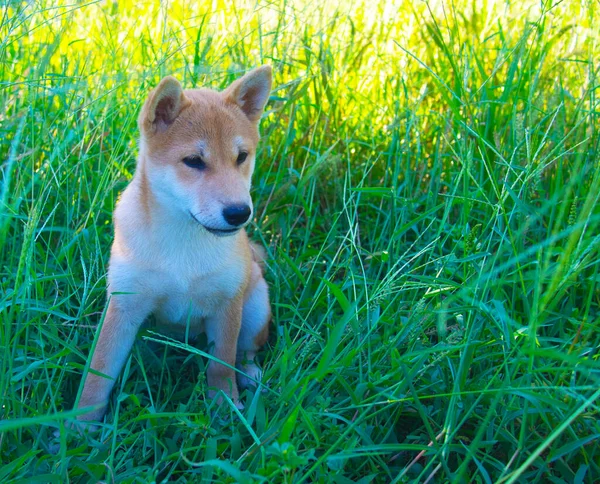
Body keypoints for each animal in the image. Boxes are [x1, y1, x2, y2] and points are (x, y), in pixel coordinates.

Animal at [75, 65, 272, 424]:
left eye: (241, 157)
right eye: (193, 161)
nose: (239, 213)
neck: (184, 240)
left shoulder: (227, 308)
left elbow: (222, 364)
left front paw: (224, 405)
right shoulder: (123, 308)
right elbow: (97, 374)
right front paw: (77, 428)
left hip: (254, 309)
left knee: (247, 350)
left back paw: (250, 375)